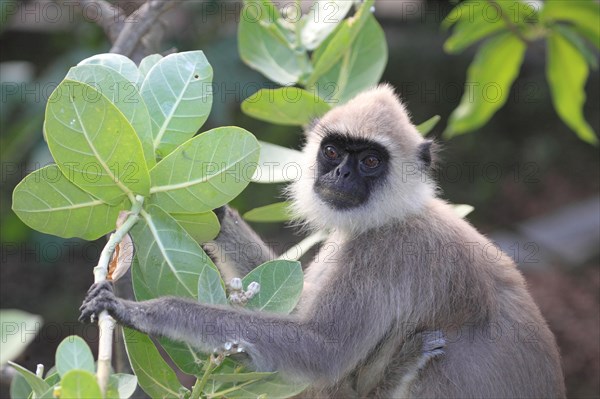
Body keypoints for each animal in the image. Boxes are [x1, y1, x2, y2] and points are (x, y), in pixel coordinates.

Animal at [82, 83, 564, 396]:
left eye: (369, 161)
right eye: (332, 152)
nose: (341, 175)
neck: (396, 215)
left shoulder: (383, 252)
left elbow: (321, 350)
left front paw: (143, 312)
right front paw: (214, 215)